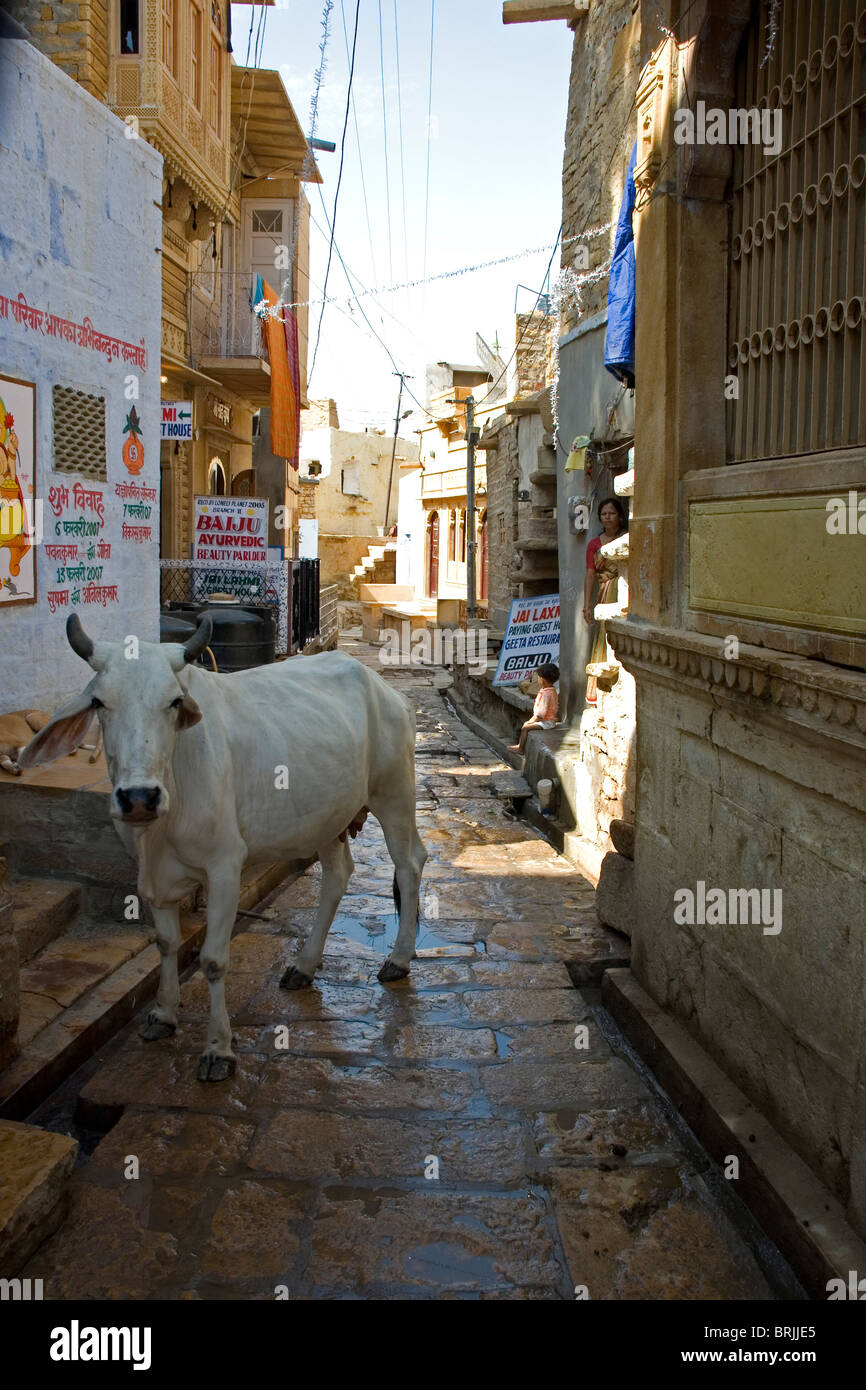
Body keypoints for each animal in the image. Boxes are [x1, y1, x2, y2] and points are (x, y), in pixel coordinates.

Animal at [19, 619, 428, 1084]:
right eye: (99, 702)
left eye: (174, 701)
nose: (139, 798)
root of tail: (383, 688)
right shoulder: (152, 877)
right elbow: (165, 943)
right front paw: (163, 1015)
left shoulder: (224, 870)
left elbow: (213, 960)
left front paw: (219, 1050)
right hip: (328, 816)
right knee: (338, 875)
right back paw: (305, 965)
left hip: (394, 794)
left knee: (409, 864)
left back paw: (398, 959)